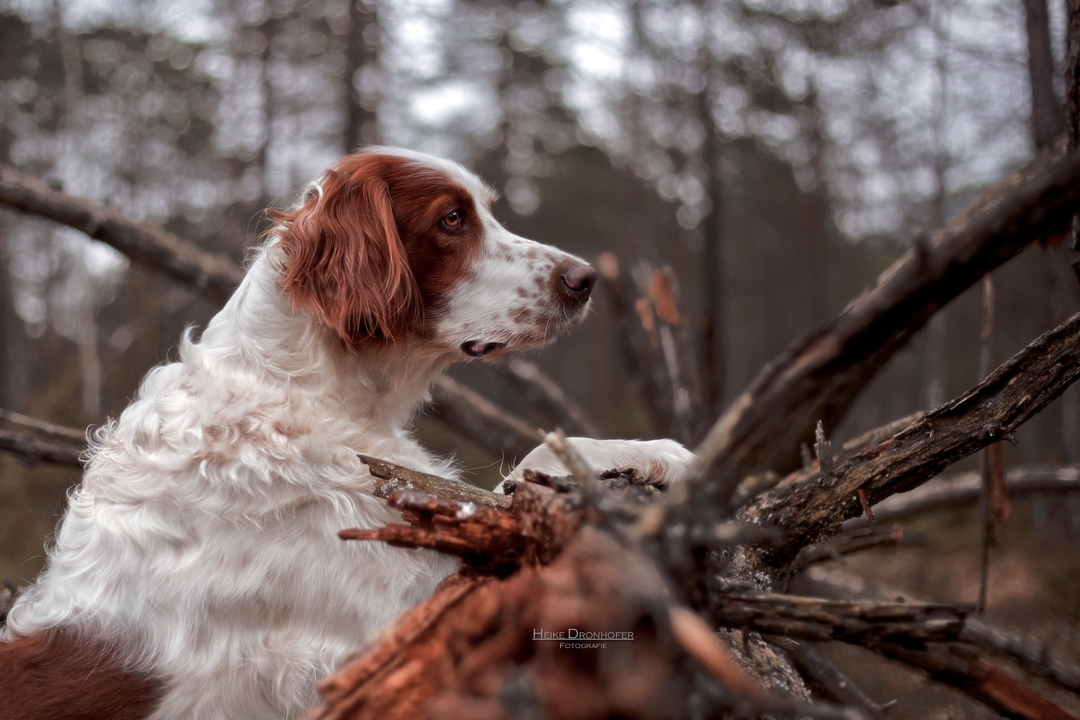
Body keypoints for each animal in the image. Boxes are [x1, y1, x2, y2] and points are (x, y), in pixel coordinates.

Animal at [0, 147, 691, 720]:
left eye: (485, 213)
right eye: (452, 220)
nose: (585, 279)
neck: (301, 387)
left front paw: (643, 455)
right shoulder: (400, 610)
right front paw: (660, 453)